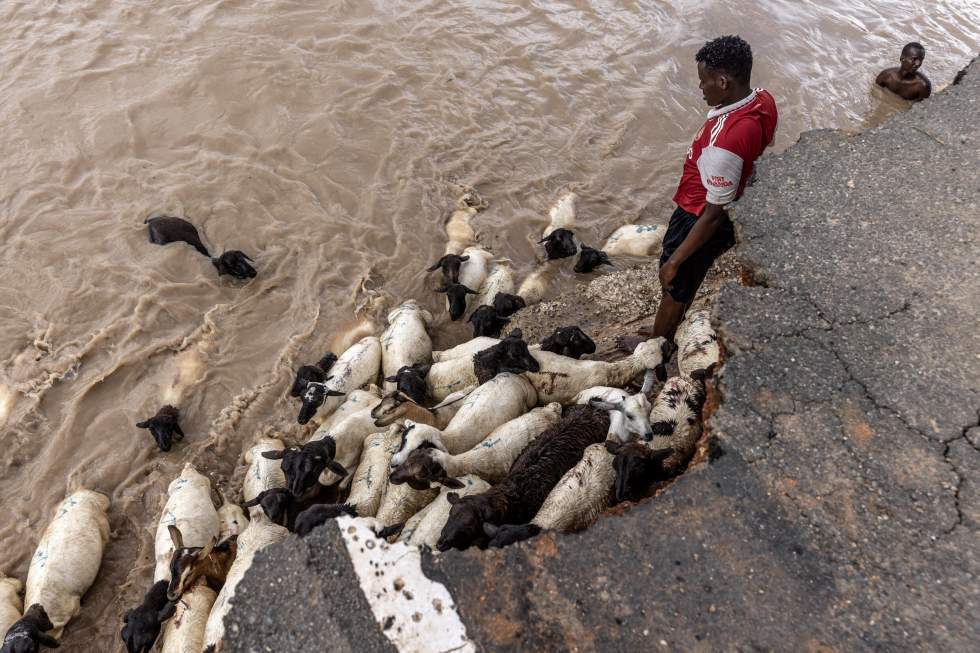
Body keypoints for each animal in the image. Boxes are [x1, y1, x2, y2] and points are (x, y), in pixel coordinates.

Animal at [388, 372, 536, 464]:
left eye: (420, 449)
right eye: (403, 440)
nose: (394, 464)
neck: (450, 438)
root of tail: (515, 376)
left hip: (529, 400)